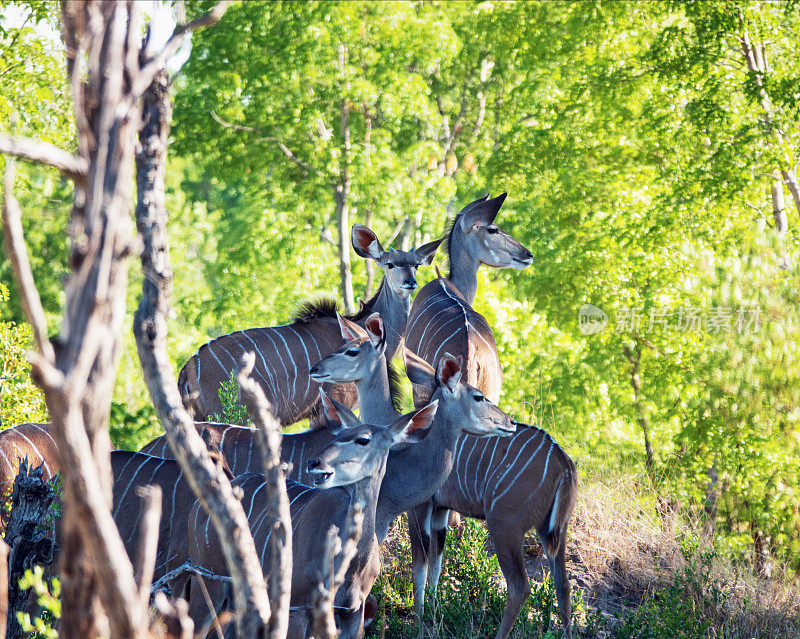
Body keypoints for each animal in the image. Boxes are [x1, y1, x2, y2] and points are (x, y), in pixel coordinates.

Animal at [185, 396, 440, 639]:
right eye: (338, 435)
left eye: (363, 439)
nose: (314, 462)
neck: (352, 563)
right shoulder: (297, 607)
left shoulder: (353, 615)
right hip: (207, 581)